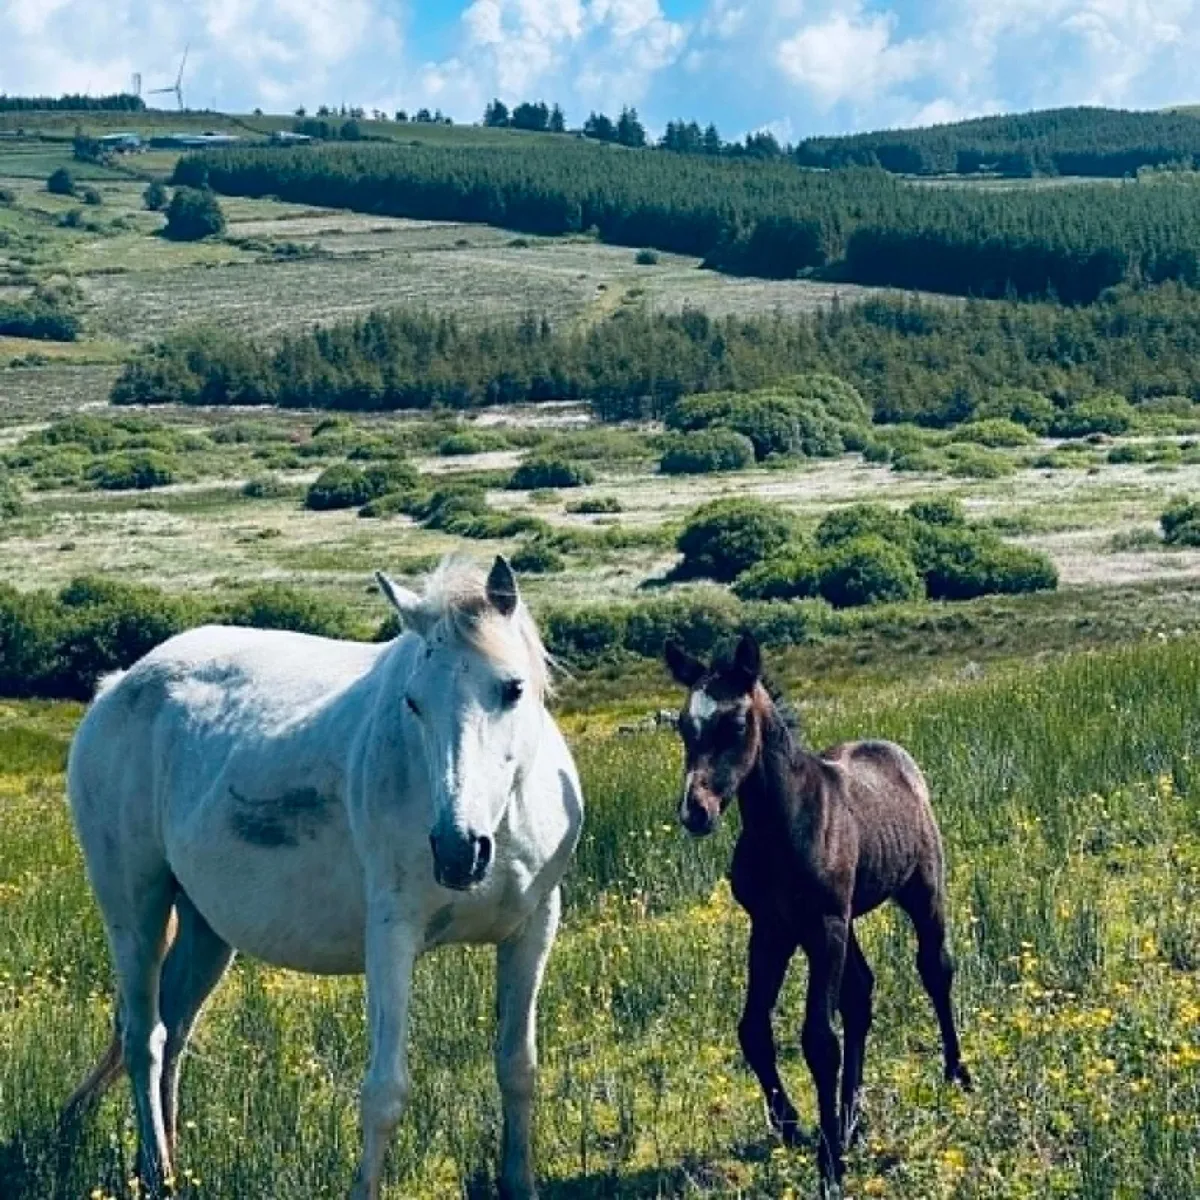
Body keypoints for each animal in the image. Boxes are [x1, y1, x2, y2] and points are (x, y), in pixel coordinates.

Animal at [61, 555, 584, 1200]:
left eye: (512, 689)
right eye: (413, 703)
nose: (458, 851)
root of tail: (117, 686)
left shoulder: (533, 930)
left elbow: (517, 1068)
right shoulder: (392, 938)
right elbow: (385, 1092)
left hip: (206, 929)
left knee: (175, 1025)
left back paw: (168, 1162)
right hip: (135, 910)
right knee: (144, 1039)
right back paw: (159, 1173)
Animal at [664, 633, 971, 1188]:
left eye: (735, 725)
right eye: (683, 726)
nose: (695, 812)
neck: (782, 826)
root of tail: (895, 756)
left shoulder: (822, 924)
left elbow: (819, 1040)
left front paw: (830, 1163)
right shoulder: (772, 928)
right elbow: (753, 1029)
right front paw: (793, 1126)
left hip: (920, 889)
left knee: (936, 968)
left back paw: (956, 1074)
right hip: (843, 922)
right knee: (860, 993)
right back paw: (852, 1119)